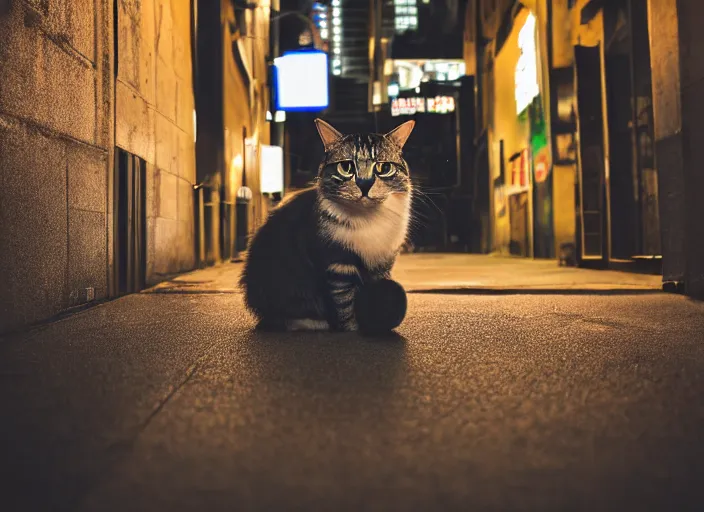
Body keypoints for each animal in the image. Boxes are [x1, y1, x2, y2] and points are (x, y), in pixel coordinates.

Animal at [242, 118, 418, 332]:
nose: (364, 184)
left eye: (384, 168)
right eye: (346, 167)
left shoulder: (382, 264)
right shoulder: (338, 265)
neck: (368, 219)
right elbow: (345, 305)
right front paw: (351, 328)